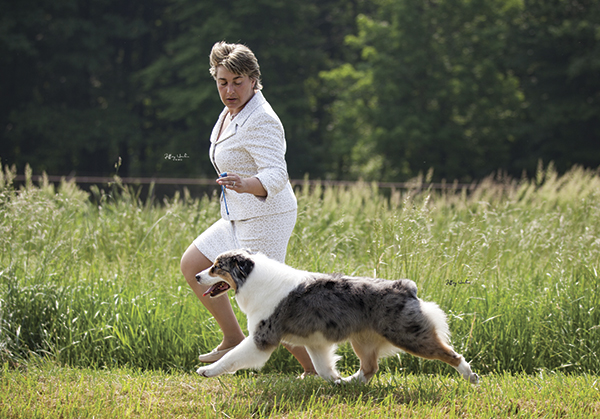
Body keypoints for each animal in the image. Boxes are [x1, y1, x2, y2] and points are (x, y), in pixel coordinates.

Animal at [196, 249, 478, 384]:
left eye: (216, 267)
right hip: (363, 340)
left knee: (451, 354)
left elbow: (231, 357)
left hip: (409, 336)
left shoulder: (261, 338)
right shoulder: (315, 342)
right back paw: (350, 383)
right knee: (370, 368)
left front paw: (207, 370)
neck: (253, 278)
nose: (197, 276)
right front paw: (336, 382)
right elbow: (323, 369)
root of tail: (405, 287)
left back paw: (470, 376)